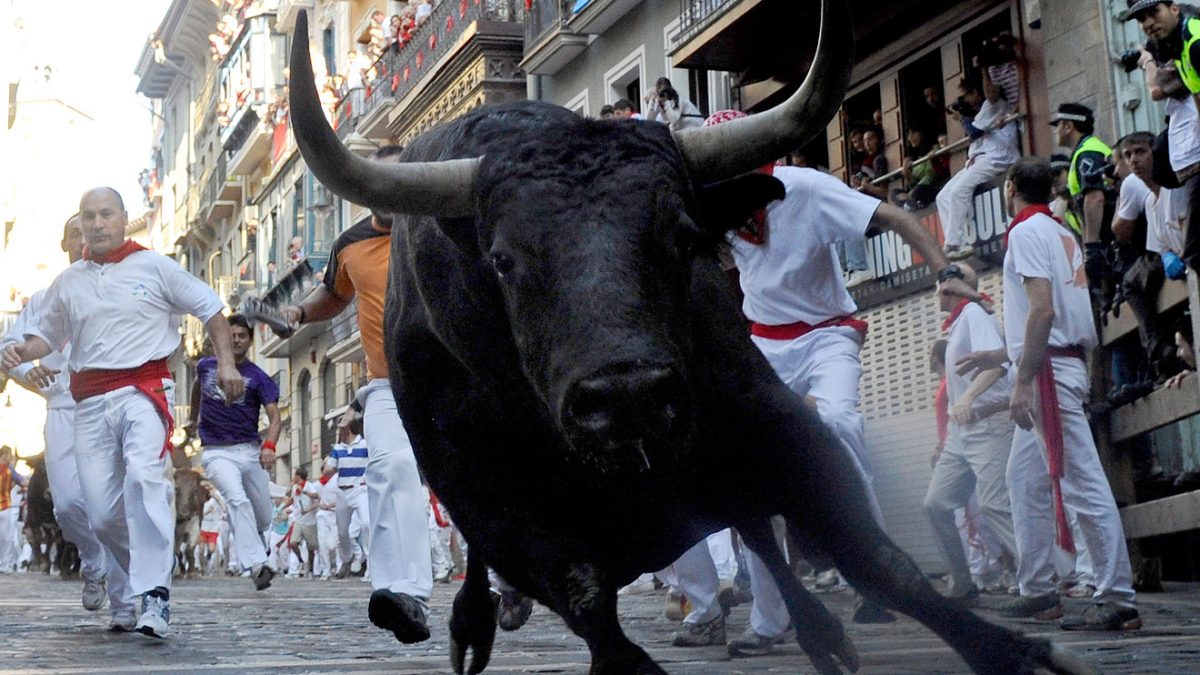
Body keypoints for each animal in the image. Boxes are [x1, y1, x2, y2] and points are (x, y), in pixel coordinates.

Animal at [288, 6, 1089, 672]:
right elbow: (588, 602)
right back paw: (472, 623)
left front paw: (1021, 655)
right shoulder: (494, 506)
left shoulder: (775, 425)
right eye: (503, 259)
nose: (629, 396)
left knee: (759, 532)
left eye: (682, 234)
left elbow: (877, 559)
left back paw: (818, 633)